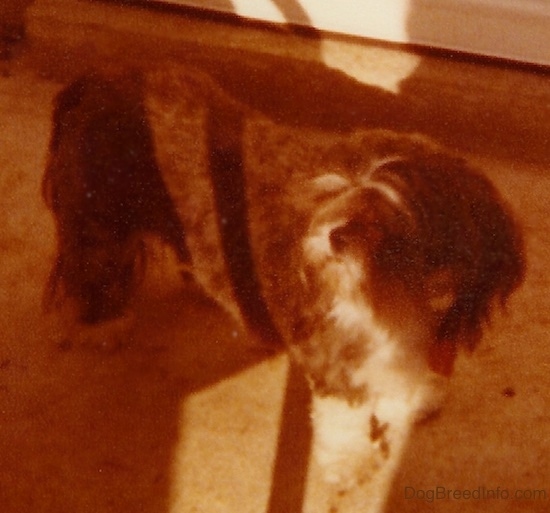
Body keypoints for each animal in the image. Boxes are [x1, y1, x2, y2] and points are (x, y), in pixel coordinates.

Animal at [43, 71, 528, 508]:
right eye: (336, 195)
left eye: (391, 223)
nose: (334, 235)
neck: (393, 297)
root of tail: (97, 83)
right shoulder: (334, 353)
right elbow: (344, 416)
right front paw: (351, 462)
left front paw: (412, 399)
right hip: (101, 227)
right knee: (95, 270)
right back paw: (103, 325)